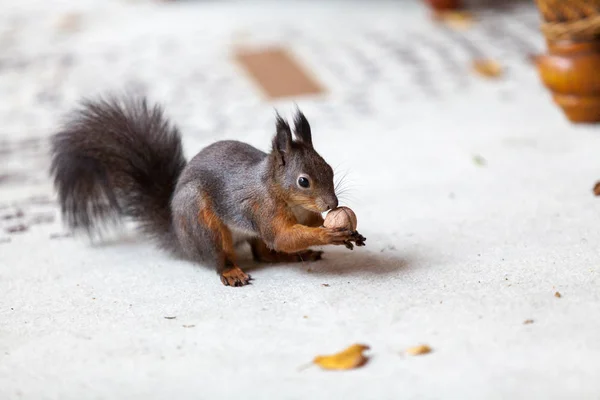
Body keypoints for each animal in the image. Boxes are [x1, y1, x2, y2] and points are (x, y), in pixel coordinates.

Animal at [49, 97, 364, 286]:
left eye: (329, 169)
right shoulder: (262, 209)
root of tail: (181, 239)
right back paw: (231, 272)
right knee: (220, 257)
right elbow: (283, 237)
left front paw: (347, 231)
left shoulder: (303, 214)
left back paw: (299, 256)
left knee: (264, 253)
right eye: (303, 181)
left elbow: (299, 230)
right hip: (203, 223)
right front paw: (330, 234)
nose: (332, 202)